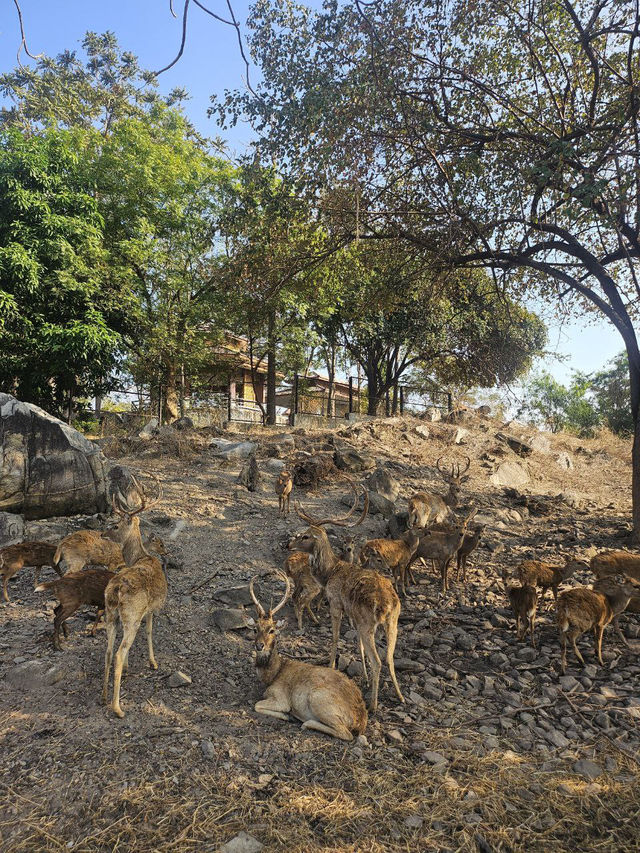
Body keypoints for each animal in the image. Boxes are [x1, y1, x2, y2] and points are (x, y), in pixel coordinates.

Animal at [248, 572, 368, 740]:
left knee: (346, 733)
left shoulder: (280, 698)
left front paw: (286, 715)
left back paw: (305, 722)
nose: (259, 645)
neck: (273, 675)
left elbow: (257, 705)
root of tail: (360, 720)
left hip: (317, 698)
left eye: (271, 630)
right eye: (255, 629)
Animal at [290, 480, 404, 712]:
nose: (289, 544)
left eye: (306, 536)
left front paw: (331, 664)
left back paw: (373, 704)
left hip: (369, 624)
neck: (329, 573)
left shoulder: (335, 603)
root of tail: (388, 604)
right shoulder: (354, 616)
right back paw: (400, 696)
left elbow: (335, 637)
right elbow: (357, 645)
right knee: (389, 658)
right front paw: (365, 678)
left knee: (378, 661)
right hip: (392, 624)